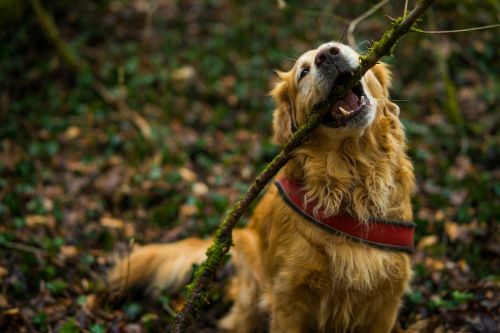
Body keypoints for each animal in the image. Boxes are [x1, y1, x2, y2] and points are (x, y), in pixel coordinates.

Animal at [108, 42, 414, 332]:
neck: (351, 180)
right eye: (303, 72)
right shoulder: (289, 300)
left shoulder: (386, 302)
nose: (328, 54)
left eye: (346, 47)